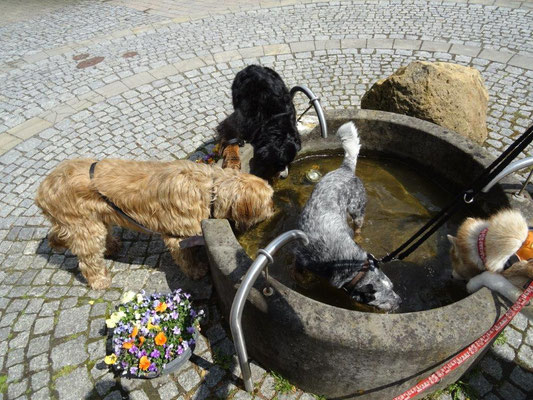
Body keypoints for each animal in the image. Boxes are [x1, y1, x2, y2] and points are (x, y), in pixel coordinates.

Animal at [35, 158, 272, 290]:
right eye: (268, 201)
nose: (272, 211)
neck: (209, 189)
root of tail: (42, 190)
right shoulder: (177, 237)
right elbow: (186, 257)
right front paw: (196, 270)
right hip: (86, 229)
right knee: (87, 260)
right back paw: (99, 280)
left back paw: (111, 246)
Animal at [296, 122, 400, 312]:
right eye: (384, 301)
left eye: (392, 287)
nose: (401, 301)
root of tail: (345, 169)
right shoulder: (300, 256)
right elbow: (298, 272)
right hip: (356, 208)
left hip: (356, 211)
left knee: (357, 227)